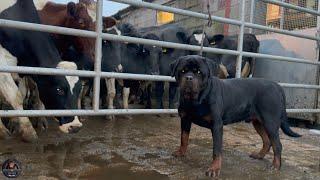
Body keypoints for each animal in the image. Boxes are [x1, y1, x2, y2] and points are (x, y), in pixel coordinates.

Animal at [0, 0, 82, 141]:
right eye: (59, 90)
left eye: (79, 90)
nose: (75, 126)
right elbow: (15, 96)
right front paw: (27, 131)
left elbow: (22, 93)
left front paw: (15, 123)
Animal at [171, 54, 302, 177]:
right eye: (182, 71)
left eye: (199, 72)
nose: (189, 78)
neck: (196, 100)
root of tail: (277, 85)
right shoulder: (185, 119)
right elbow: (184, 138)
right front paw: (181, 152)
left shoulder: (216, 125)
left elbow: (216, 150)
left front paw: (214, 169)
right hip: (258, 122)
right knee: (267, 141)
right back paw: (259, 155)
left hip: (270, 122)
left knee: (277, 144)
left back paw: (275, 166)